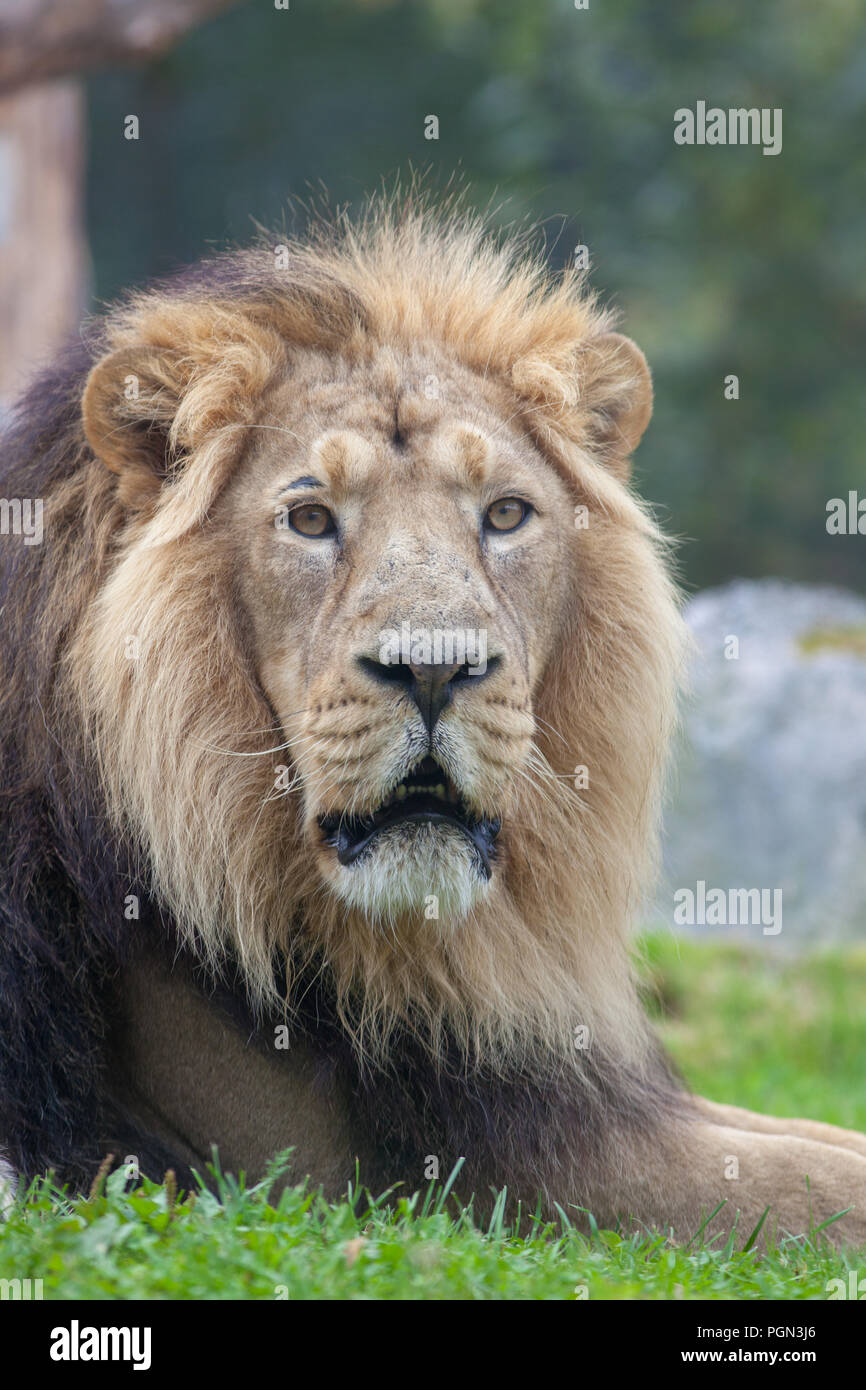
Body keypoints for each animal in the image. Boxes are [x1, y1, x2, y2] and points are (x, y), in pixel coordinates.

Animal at [1, 195, 866, 1251]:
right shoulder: (449, 1171)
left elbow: (818, 1140)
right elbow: (816, 1187)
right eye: (310, 520)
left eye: (506, 514)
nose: (433, 669)